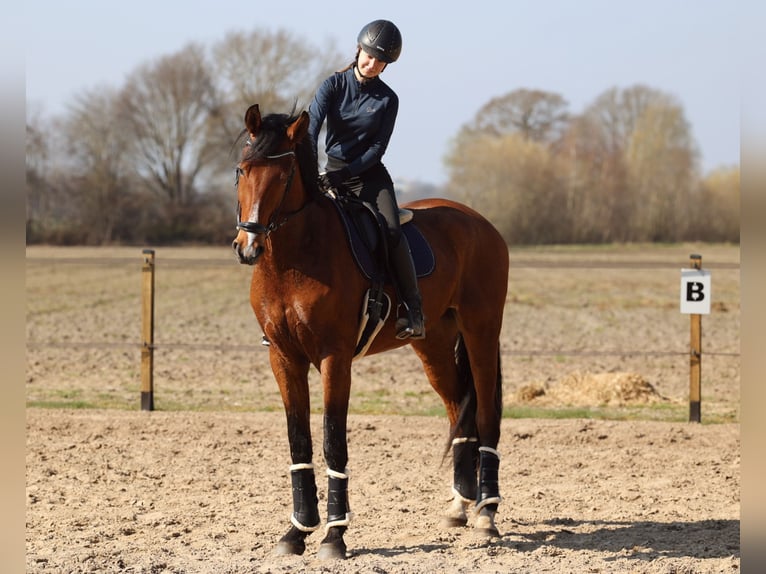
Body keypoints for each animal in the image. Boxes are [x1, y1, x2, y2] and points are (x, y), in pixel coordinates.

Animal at [231, 104, 509, 559]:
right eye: (243, 170)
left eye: (284, 176)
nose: (247, 247)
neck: (294, 260)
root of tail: (480, 222)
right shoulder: (284, 357)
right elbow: (298, 440)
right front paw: (296, 532)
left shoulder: (334, 358)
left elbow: (332, 440)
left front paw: (334, 535)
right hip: (434, 345)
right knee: (459, 411)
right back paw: (460, 505)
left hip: (480, 333)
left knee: (485, 414)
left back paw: (486, 514)